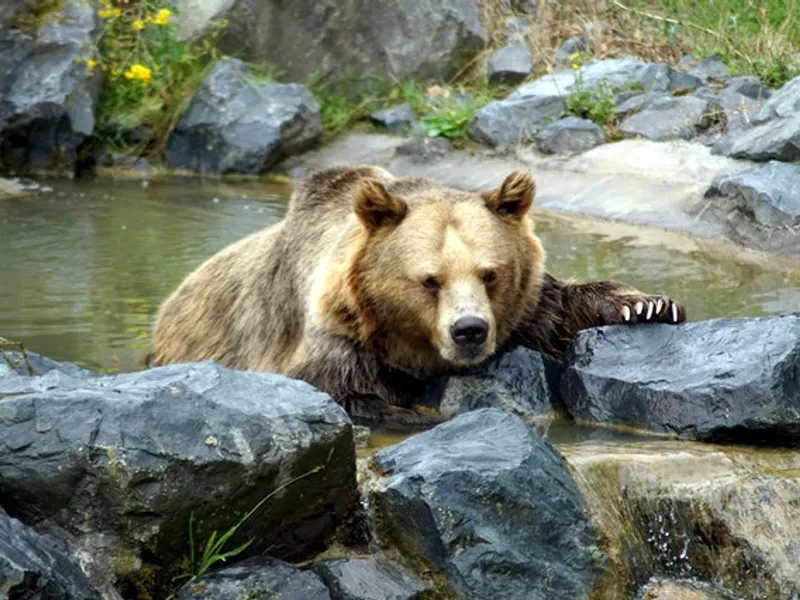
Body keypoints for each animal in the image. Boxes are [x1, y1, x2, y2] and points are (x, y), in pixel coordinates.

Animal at [152, 164, 688, 426]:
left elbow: (557, 310)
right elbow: (333, 390)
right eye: (430, 279)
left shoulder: (523, 310)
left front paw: (647, 305)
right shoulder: (335, 337)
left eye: (490, 274)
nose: (470, 330)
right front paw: (406, 412)